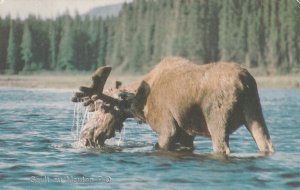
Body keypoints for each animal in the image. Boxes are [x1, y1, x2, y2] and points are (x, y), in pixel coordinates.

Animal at [71, 56, 274, 154]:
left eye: (102, 107)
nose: (85, 136)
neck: (140, 104)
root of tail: (244, 81)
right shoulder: (187, 133)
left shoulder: (168, 127)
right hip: (255, 113)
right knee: (266, 144)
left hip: (217, 119)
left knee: (221, 146)